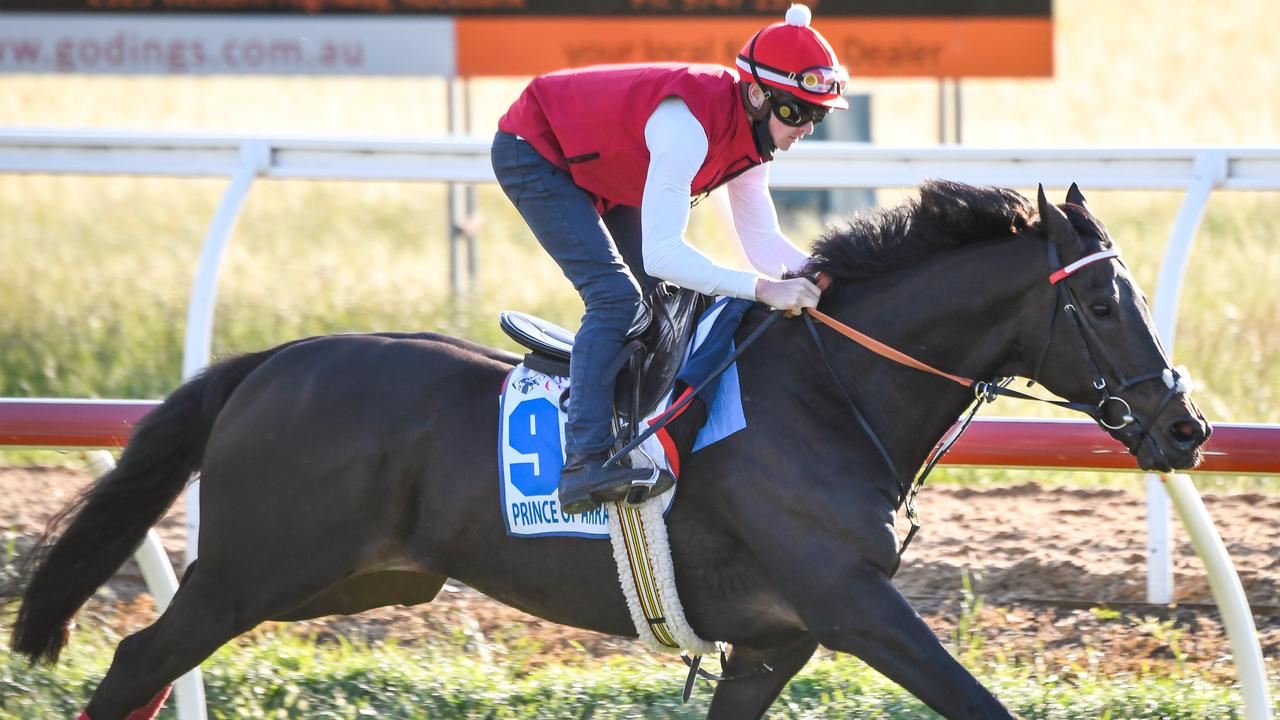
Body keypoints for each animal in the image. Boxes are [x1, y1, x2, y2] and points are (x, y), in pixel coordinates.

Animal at [5, 179, 1203, 717]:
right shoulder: (852, 604)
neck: (828, 394)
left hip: (350, 580)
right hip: (255, 570)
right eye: (1103, 302)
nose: (1184, 427)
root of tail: (266, 361)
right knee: (140, 658)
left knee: (155, 666)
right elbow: (978, 703)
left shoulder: (775, 640)